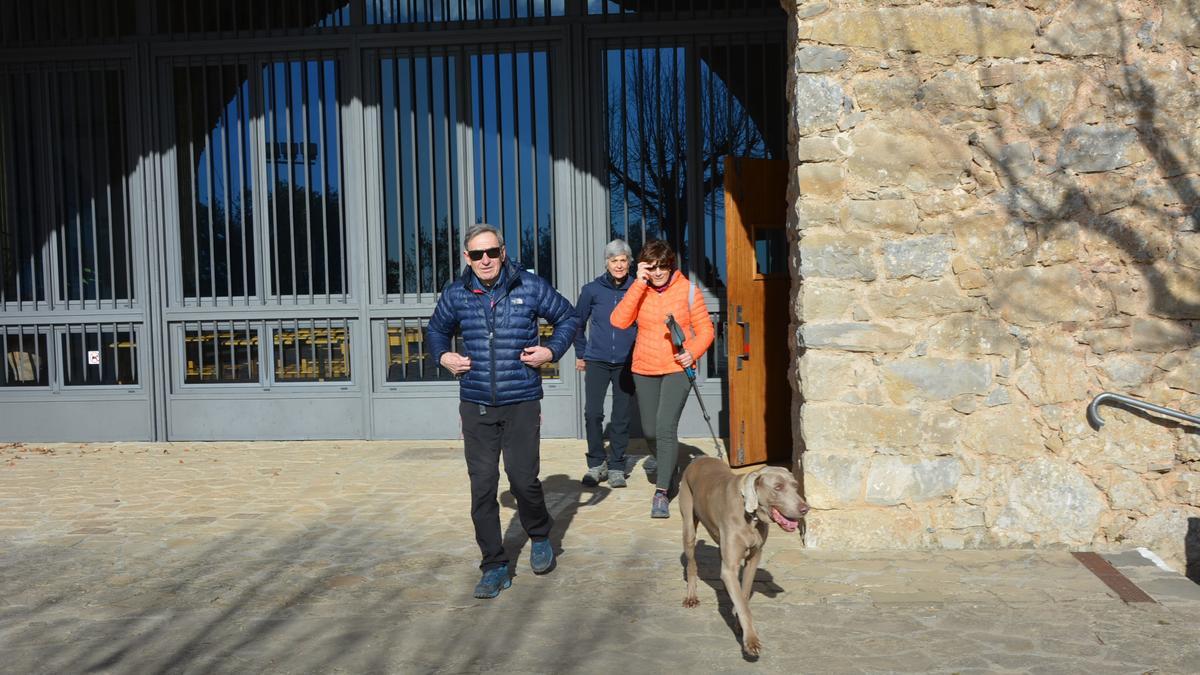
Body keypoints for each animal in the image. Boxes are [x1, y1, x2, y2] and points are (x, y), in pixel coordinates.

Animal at [681, 454, 811, 653]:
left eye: (795, 485)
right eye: (778, 487)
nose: (806, 509)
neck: (752, 516)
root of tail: (699, 458)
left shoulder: (753, 559)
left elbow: (743, 595)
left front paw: (738, 621)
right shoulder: (731, 565)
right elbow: (742, 604)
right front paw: (751, 641)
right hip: (688, 525)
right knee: (692, 563)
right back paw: (691, 597)